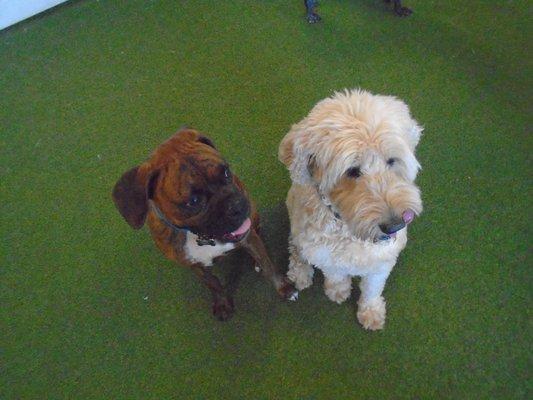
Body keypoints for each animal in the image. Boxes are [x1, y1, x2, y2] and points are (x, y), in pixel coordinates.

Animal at [111, 130, 298, 320]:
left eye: (226, 172)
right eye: (193, 201)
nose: (236, 205)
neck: (201, 237)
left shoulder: (248, 237)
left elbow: (268, 265)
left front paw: (285, 288)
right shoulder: (195, 265)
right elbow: (213, 283)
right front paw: (222, 303)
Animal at [280, 89, 422, 330]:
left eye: (391, 161)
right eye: (352, 171)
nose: (395, 225)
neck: (349, 231)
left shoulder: (382, 262)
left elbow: (372, 288)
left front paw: (370, 311)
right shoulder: (325, 255)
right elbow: (336, 274)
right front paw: (338, 290)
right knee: (296, 249)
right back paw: (300, 273)